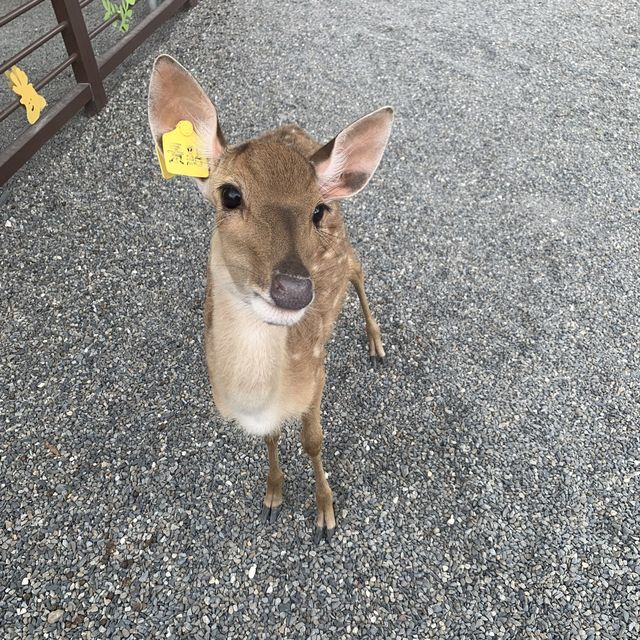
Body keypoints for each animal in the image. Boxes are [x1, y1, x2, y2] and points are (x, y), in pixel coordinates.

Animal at [148, 56, 392, 544]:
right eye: (230, 194)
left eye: (316, 210)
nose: (294, 288)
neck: (259, 397)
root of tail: (293, 127)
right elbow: (271, 438)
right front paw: (273, 496)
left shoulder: (315, 371)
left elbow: (313, 441)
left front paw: (325, 514)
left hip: (343, 245)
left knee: (357, 268)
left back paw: (376, 342)